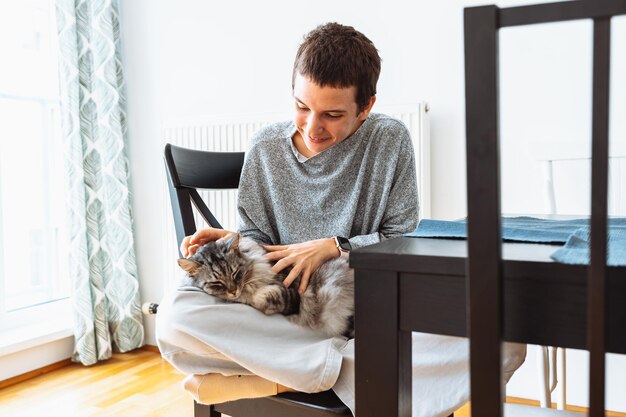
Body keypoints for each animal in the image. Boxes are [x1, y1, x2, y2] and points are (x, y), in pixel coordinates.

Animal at [177, 232, 352, 336]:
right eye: (216, 282)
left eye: (235, 273)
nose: (234, 291)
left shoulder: (293, 296)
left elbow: (266, 296)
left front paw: (256, 298)